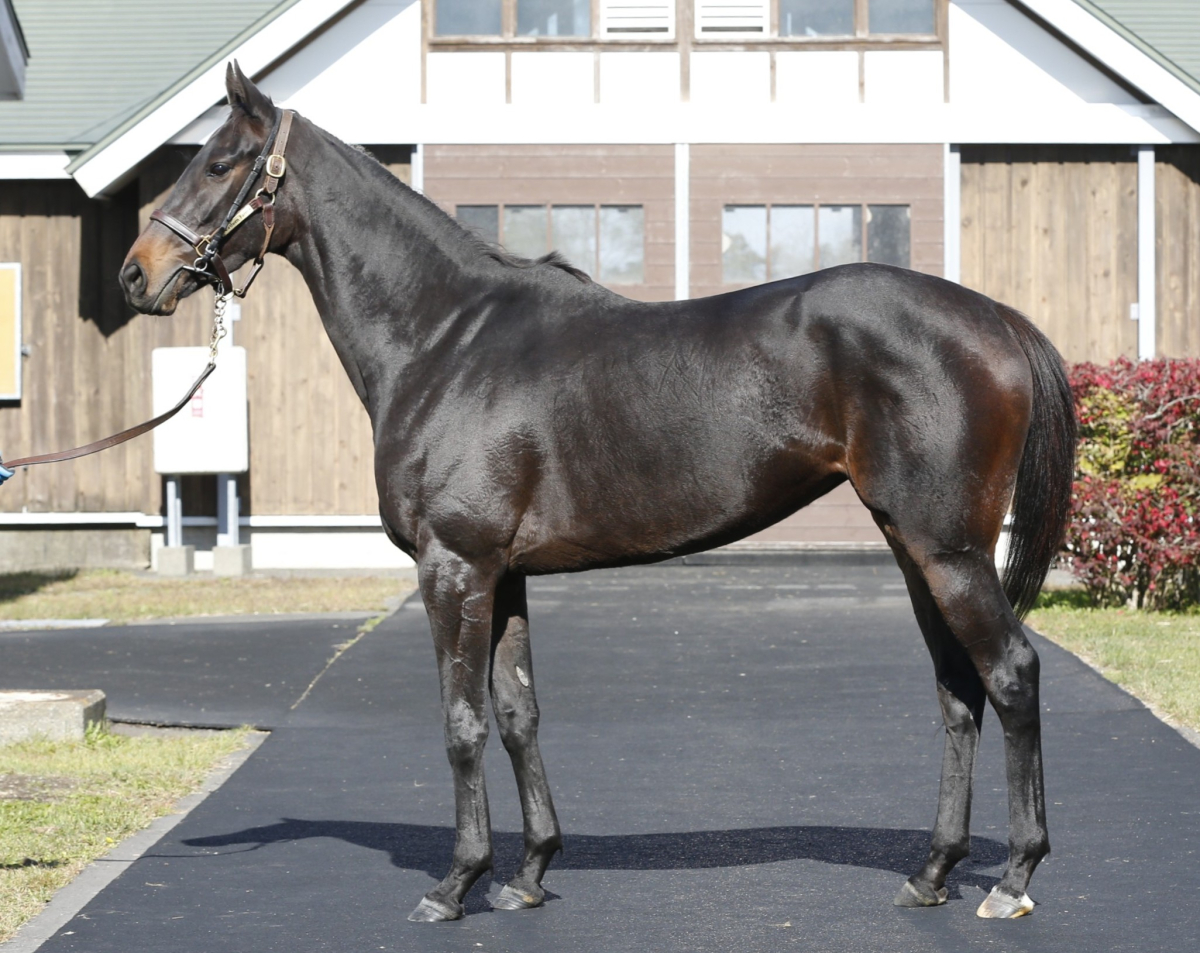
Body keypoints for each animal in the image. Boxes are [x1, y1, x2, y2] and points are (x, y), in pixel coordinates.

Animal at [120, 63, 1077, 923]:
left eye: (219, 162)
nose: (136, 274)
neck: (444, 339)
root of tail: (995, 318)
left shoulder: (453, 566)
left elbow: (462, 721)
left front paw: (455, 883)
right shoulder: (503, 575)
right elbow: (517, 714)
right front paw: (529, 872)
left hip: (949, 551)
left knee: (1010, 673)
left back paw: (1014, 878)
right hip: (915, 549)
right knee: (958, 693)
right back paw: (932, 872)